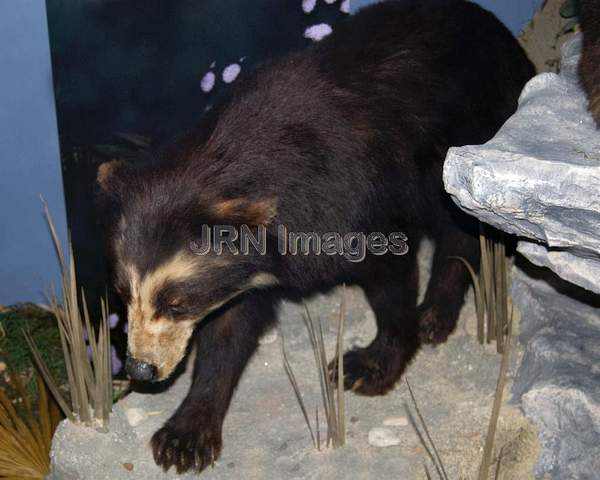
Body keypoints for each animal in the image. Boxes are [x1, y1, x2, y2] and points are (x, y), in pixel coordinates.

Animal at [95, 0, 536, 472]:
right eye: (122, 294)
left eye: (178, 303)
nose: (140, 369)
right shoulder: (242, 271)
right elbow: (228, 332)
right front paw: (185, 437)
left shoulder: (354, 199)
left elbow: (389, 281)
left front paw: (367, 366)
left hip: (471, 144)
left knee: (460, 226)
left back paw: (434, 315)